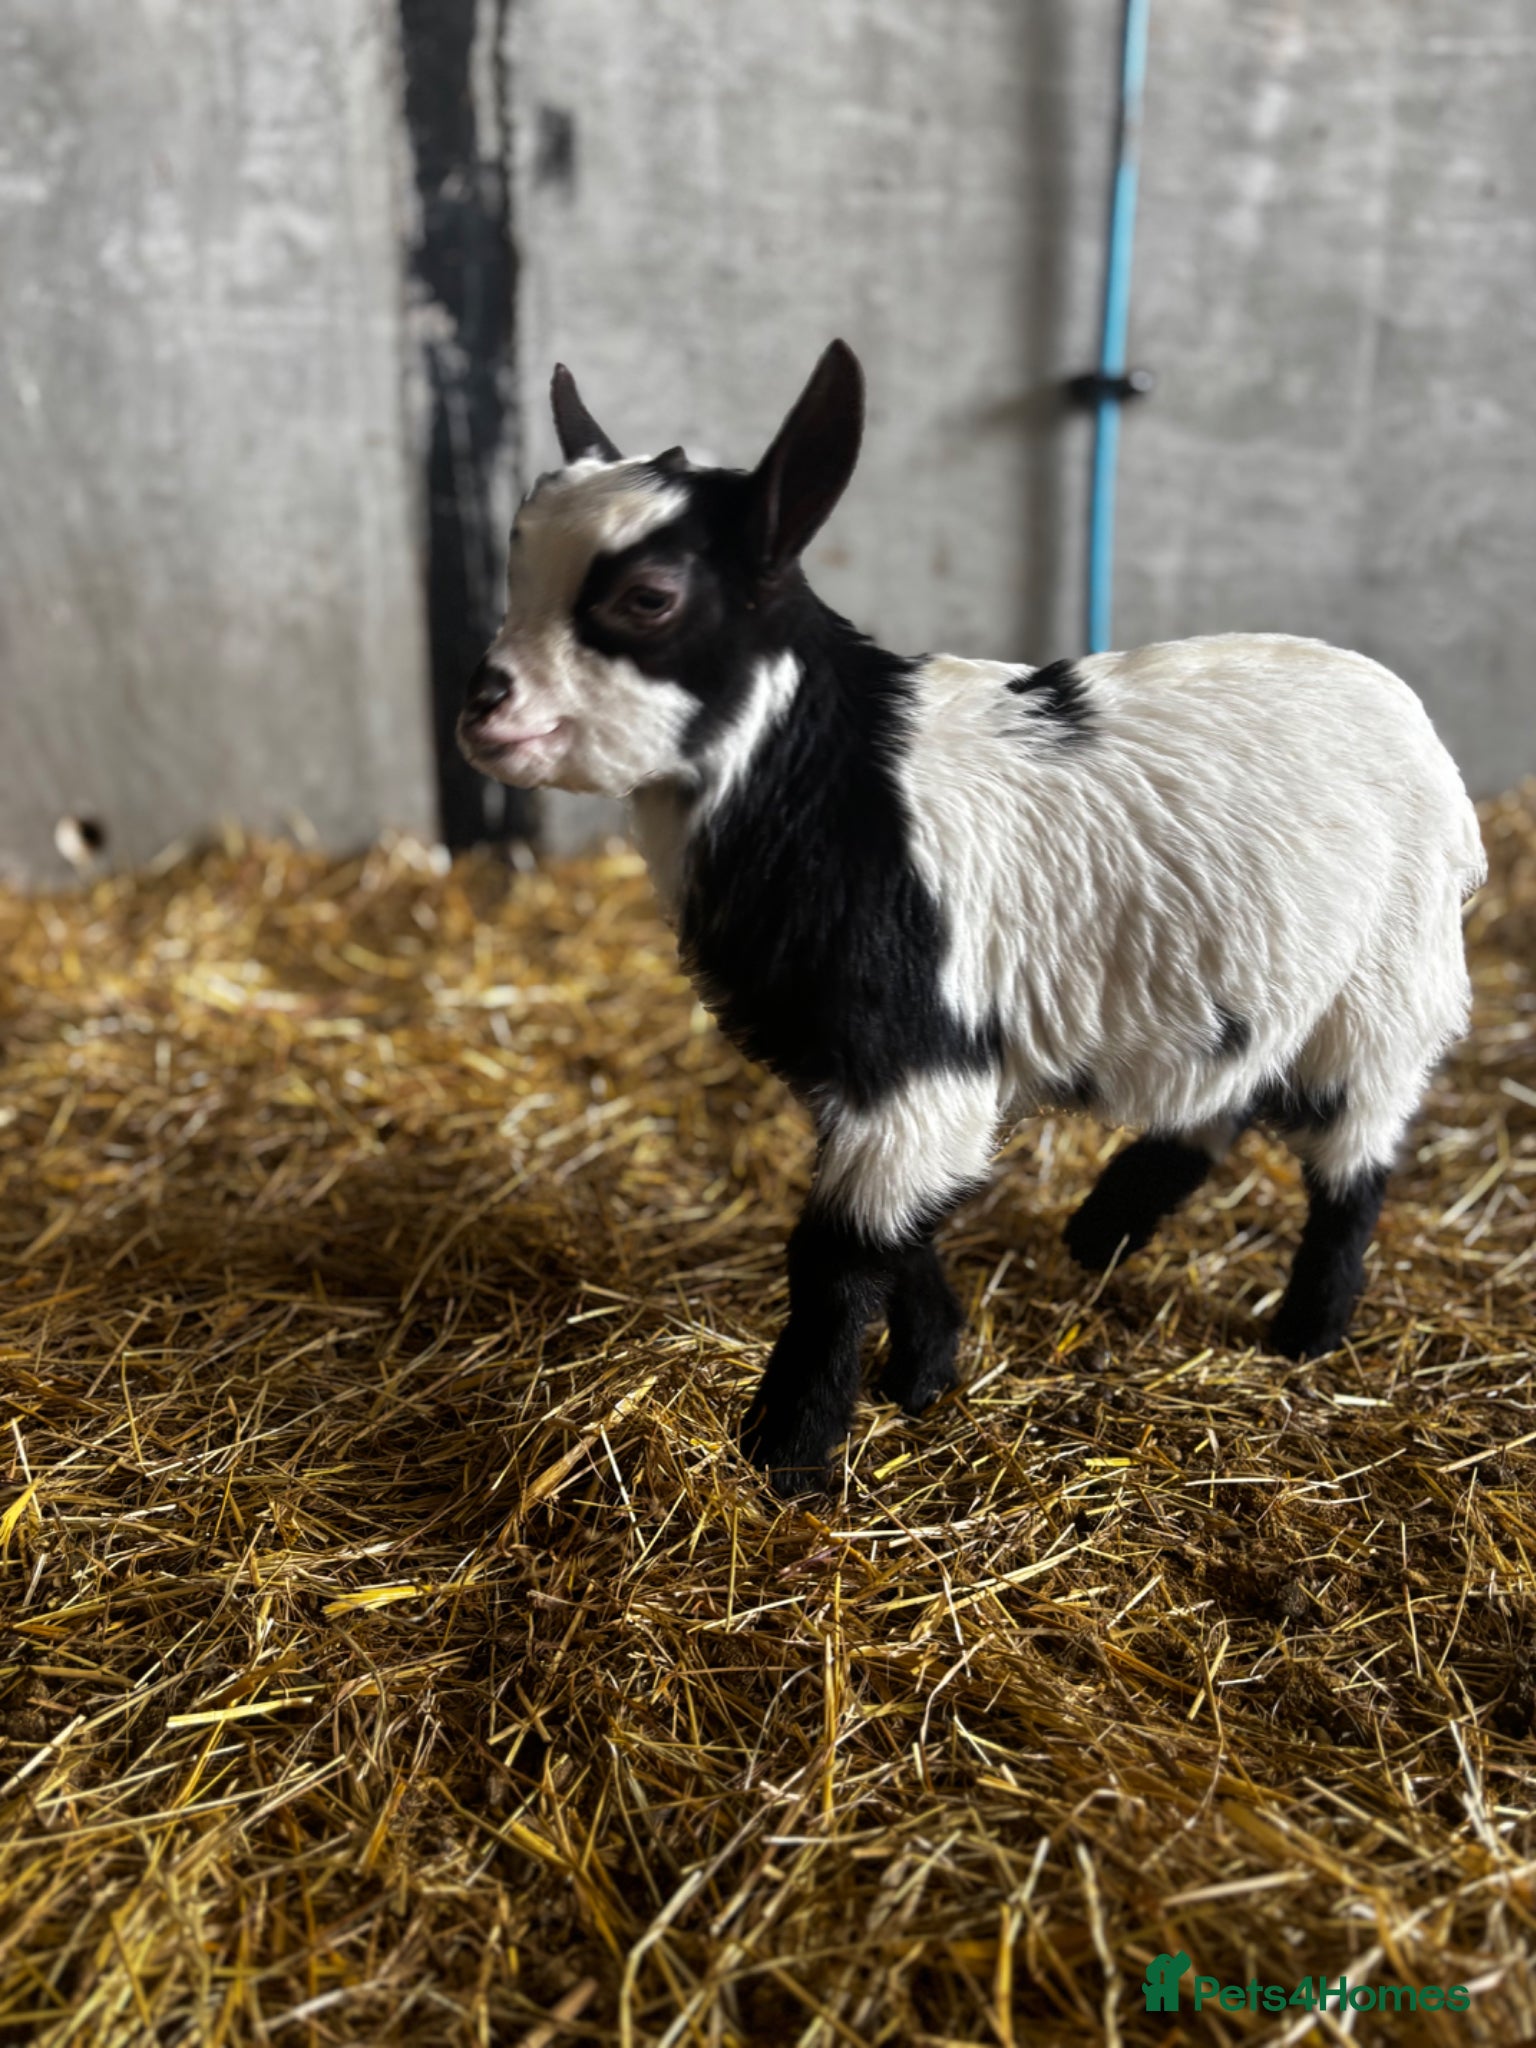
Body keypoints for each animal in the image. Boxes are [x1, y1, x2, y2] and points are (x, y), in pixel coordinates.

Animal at [459, 341, 1486, 1494]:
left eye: (648, 596)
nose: (482, 705)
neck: (825, 787)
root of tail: (1419, 730)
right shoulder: (869, 1072)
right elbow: (904, 1228)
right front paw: (926, 1369)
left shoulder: (918, 1052)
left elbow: (839, 1253)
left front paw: (788, 1453)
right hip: (1255, 979)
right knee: (1223, 1095)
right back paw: (1105, 1232)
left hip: (1383, 982)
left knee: (1354, 1149)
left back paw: (1307, 1329)